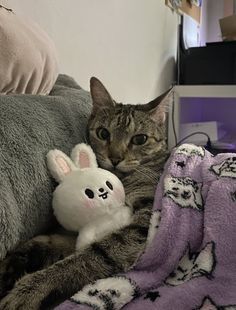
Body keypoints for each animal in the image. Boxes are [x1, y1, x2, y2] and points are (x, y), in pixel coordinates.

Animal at [0, 77, 171, 308]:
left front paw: (30, 290)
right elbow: (48, 240)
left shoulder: (144, 224)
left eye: (140, 139)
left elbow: (88, 256)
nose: (115, 158)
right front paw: (14, 262)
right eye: (103, 133)